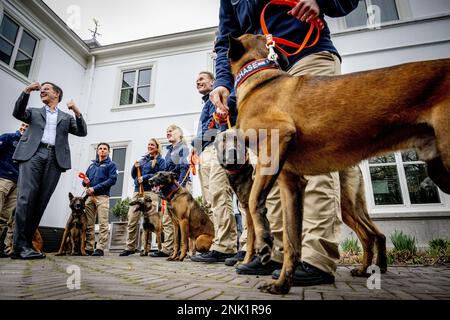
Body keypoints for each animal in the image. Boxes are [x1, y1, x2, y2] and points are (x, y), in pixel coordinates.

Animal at [229, 33, 450, 294]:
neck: (260, 77)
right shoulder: (291, 184)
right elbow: (292, 241)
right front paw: (282, 284)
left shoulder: (278, 139)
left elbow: (255, 199)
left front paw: (264, 241)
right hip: (434, 170)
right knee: (371, 235)